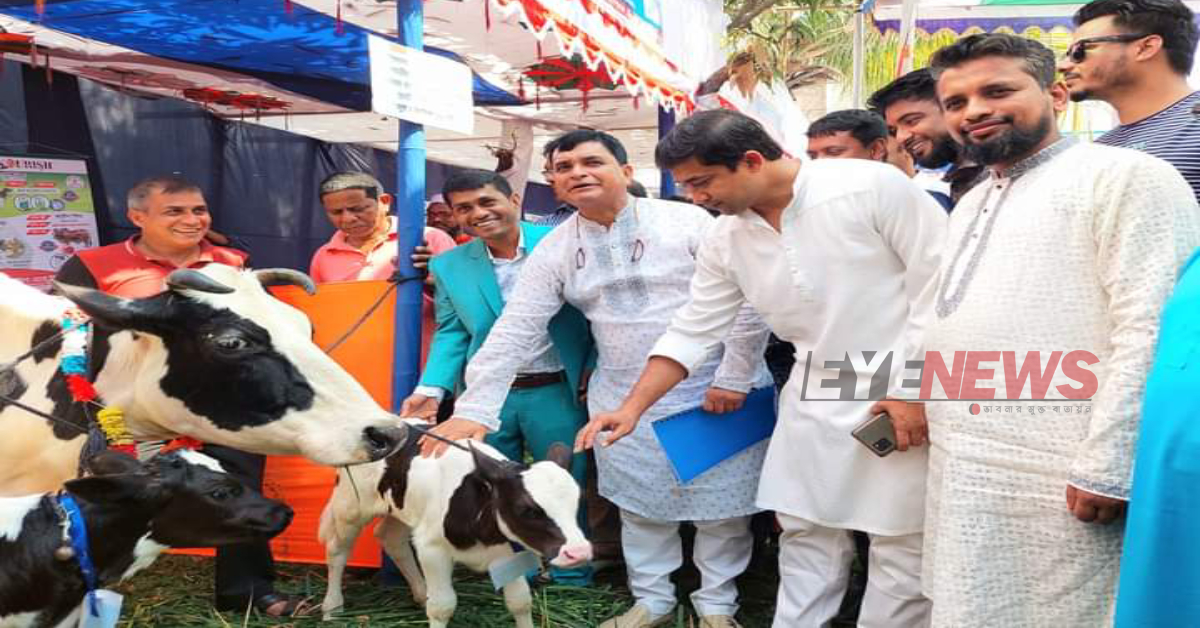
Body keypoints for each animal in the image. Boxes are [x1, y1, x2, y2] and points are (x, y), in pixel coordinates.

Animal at [321, 422, 592, 628]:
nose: (579, 552)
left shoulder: (507, 553)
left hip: (404, 510)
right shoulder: (432, 549)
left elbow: (520, 601)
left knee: (390, 538)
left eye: (577, 501)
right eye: (527, 509)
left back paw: (421, 593)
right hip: (350, 506)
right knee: (337, 550)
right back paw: (332, 608)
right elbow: (442, 607)